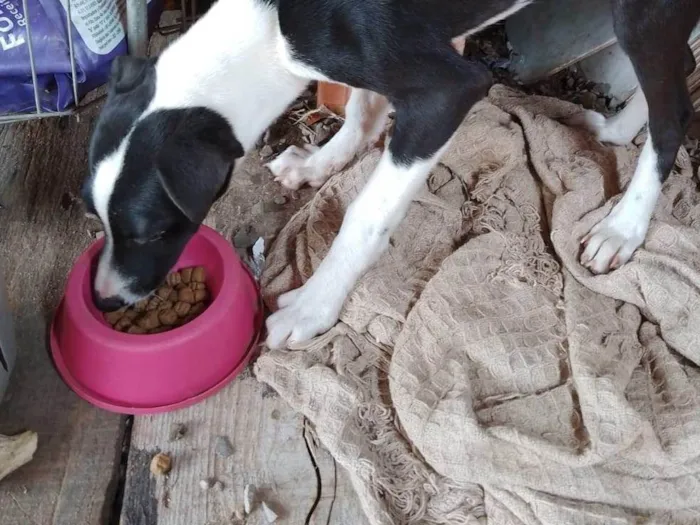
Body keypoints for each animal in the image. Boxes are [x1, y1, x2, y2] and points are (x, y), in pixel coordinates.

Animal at [83, 1, 700, 348]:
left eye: (152, 232)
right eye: (98, 218)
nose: (106, 302)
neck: (267, 31)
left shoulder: (448, 91)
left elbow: (366, 215)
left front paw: (314, 307)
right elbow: (361, 109)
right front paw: (321, 163)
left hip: (642, 14)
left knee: (675, 113)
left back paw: (624, 226)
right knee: (677, 77)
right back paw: (617, 129)